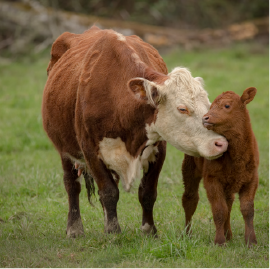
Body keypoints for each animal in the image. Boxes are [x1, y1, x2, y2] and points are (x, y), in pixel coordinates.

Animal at [42, 26, 228, 237]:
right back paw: (74, 228)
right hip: (65, 149)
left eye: (208, 105)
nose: (220, 143)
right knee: (72, 184)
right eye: (182, 108)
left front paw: (148, 230)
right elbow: (108, 192)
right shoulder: (90, 150)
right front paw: (113, 232)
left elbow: (147, 192)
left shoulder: (158, 148)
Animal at [181, 86, 260, 245]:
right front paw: (219, 241)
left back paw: (228, 234)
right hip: (189, 169)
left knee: (228, 203)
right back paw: (187, 234)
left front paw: (251, 241)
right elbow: (219, 210)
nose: (205, 118)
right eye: (210, 106)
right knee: (190, 199)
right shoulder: (212, 179)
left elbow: (247, 209)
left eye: (227, 106)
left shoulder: (252, 178)